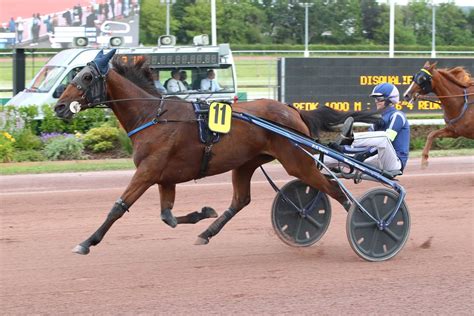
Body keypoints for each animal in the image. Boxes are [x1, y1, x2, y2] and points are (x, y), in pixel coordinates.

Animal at [55, 50, 382, 256]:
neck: (153, 116)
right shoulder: (164, 177)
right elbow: (167, 217)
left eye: (86, 77)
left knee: (334, 189)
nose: (59, 106)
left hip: (297, 160)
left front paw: (87, 242)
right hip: (247, 163)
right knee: (241, 200)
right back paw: (207, 233)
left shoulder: (147, 172)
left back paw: (369, 225)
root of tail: (292, 110)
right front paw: (203, 213)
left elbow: (118, 207)